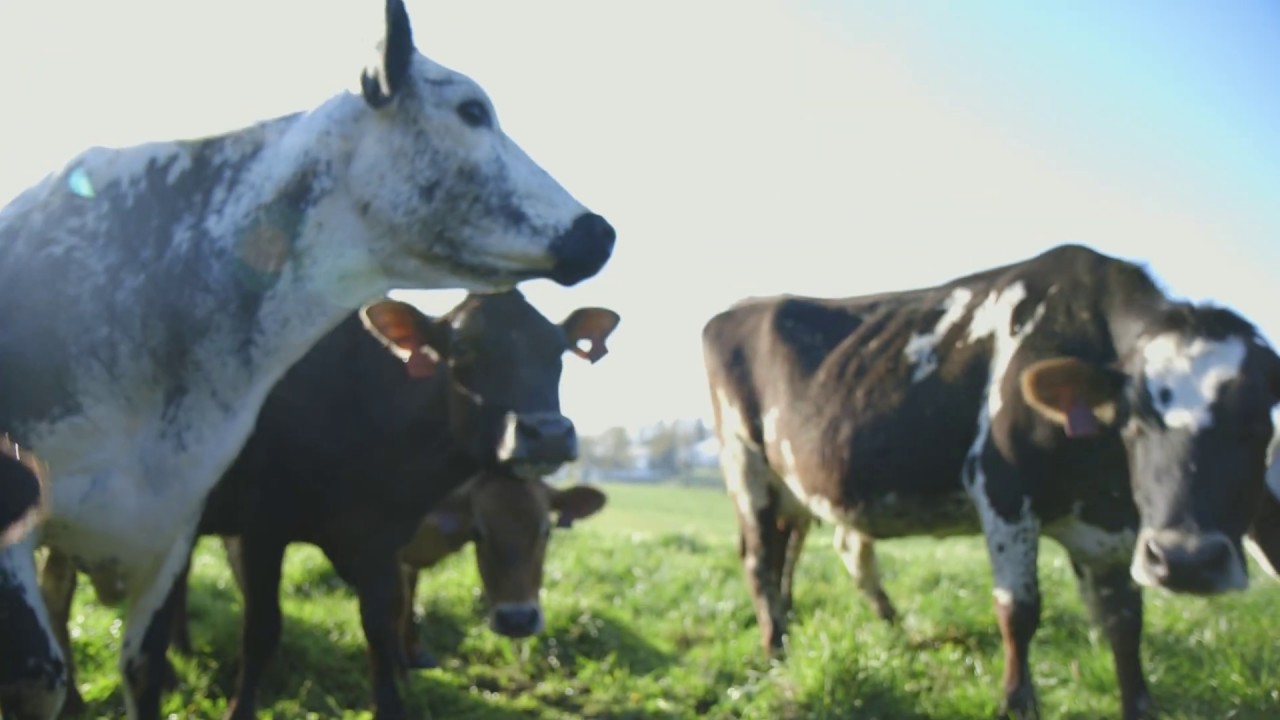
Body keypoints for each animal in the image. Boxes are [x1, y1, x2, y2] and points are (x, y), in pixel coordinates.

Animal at [395, 472, 608, 668]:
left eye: (547, 531)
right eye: (477, 532)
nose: (517, 620)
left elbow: (410, 597)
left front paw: (415, 654)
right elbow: (401, 605)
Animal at [701, 243, 1280, 720]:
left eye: (1260, 425)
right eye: (1134, 419)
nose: (1186, 561)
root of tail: (739, 308)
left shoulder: (1111, 528)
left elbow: (1123, 621)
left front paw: (1138, 705)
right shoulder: (1002, 489)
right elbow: (1018, 609)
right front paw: (1016, 703)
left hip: (792, 487)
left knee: (796, 552)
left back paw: (838, 629)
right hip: (745, 463)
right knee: (759, 559)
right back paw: (776, 649)